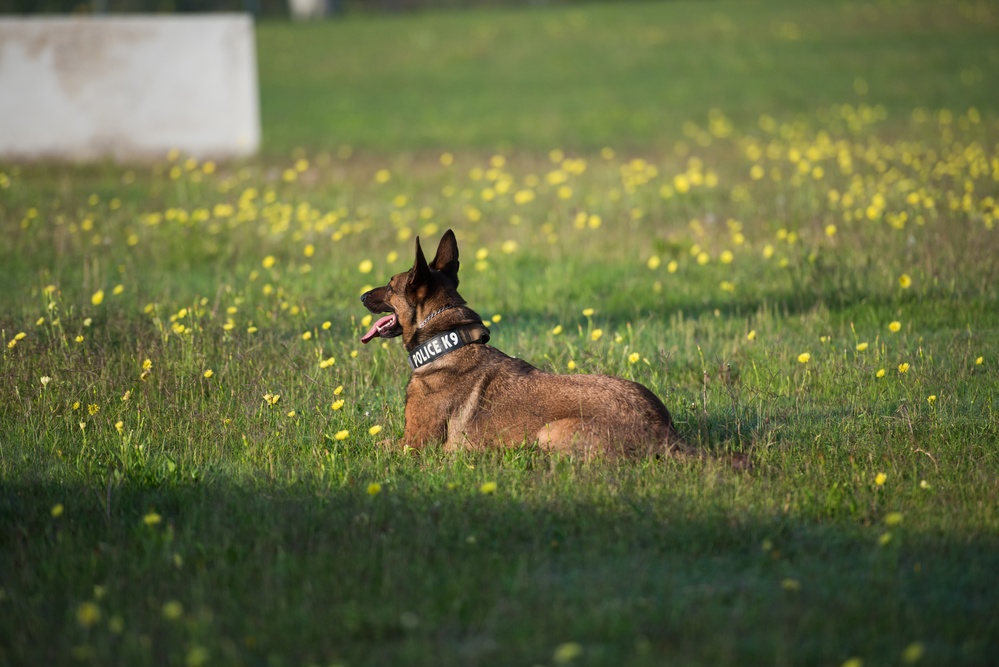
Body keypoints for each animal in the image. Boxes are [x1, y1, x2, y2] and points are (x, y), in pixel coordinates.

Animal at [360, 230, 696, 460]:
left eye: (390, 286)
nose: (361, 296)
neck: (447, 343)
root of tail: (667, 434)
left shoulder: (414, 445)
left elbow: (374, 442)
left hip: (550, 432)